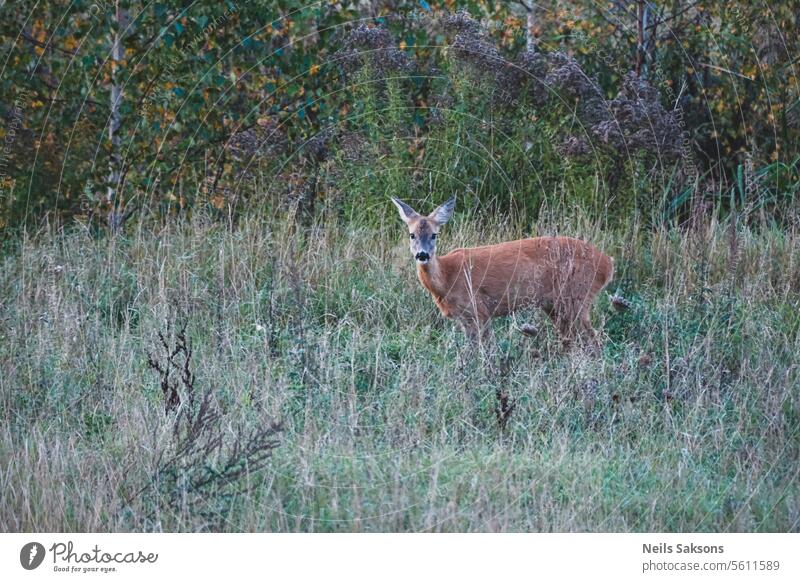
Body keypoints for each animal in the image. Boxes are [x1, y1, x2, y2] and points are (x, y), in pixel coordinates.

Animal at [390, 196, 616, 352]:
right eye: (412, 234)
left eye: (434, 234)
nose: (422, 255)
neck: (447, 278)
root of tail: (608, 264)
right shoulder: (465, 318)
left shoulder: (478, 310)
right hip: (555, 305)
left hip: (578, 297)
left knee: (593, 341)